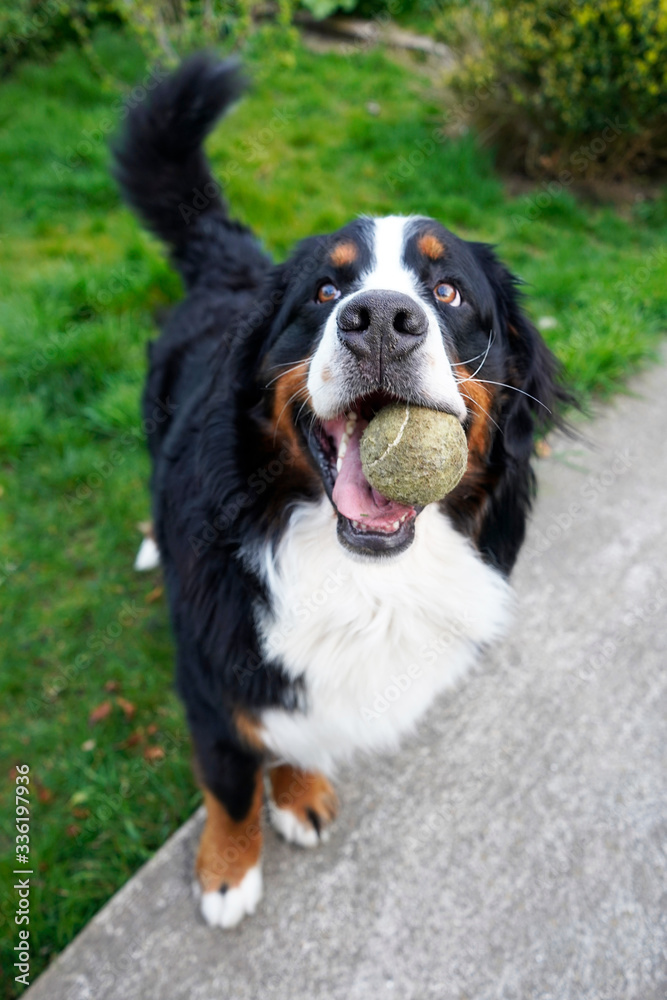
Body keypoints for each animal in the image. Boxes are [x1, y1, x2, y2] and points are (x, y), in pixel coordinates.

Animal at [113, 54, 568, 928]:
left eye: (447, 292)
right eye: (325, 294)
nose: (382, 318)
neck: (361, 577)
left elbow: (301, 737)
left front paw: (298, 792)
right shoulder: (214, 681)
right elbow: (229, 786)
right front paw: (227, 872)